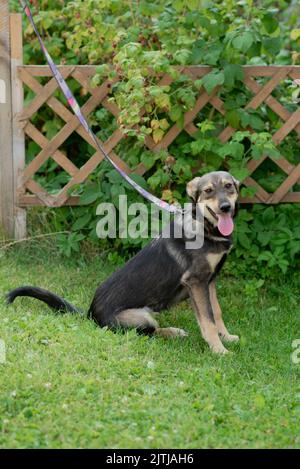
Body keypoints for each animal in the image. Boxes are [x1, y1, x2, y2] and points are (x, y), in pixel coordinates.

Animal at [6, 170, 239, 352]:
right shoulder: (196, 282)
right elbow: (208, 320)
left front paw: (226, 338)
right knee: (146, 333)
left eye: (229, 186)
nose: (225, 207)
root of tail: (90, 314)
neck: (205, 227)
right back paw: (172, 332)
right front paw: (219, 350)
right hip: (141, 316)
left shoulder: (209, 281)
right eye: (208, 191)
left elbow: (216, 313)